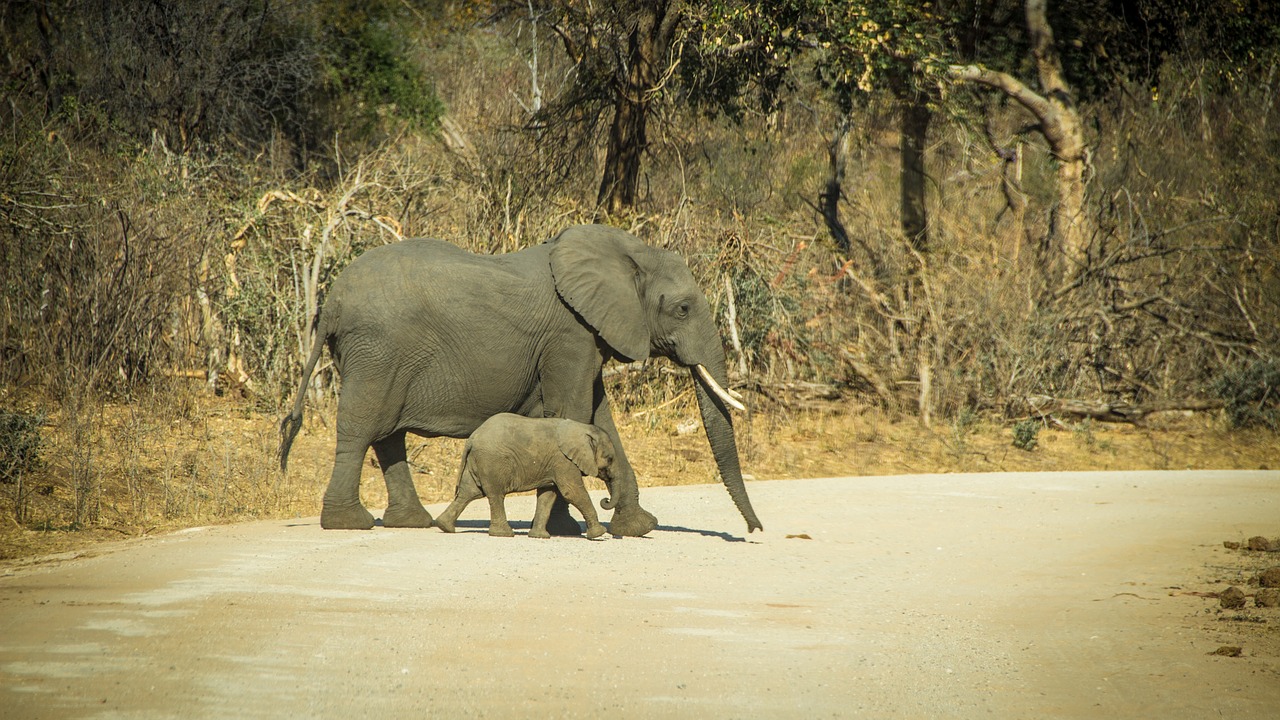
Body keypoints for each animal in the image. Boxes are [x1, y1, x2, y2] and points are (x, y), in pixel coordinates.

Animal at [432, 412, 616, 535]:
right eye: (610, 459)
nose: (605, 500)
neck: (582, 428)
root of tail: (472, 437)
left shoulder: (553, 464)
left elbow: (547, 495)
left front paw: (540, 536)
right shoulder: (563, 461)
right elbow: (572, 492)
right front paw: (599, 534)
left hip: (478, 461)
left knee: (468, 492)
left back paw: (445, 526)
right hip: (492, 461)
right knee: (495, 494)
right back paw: (504, 534)